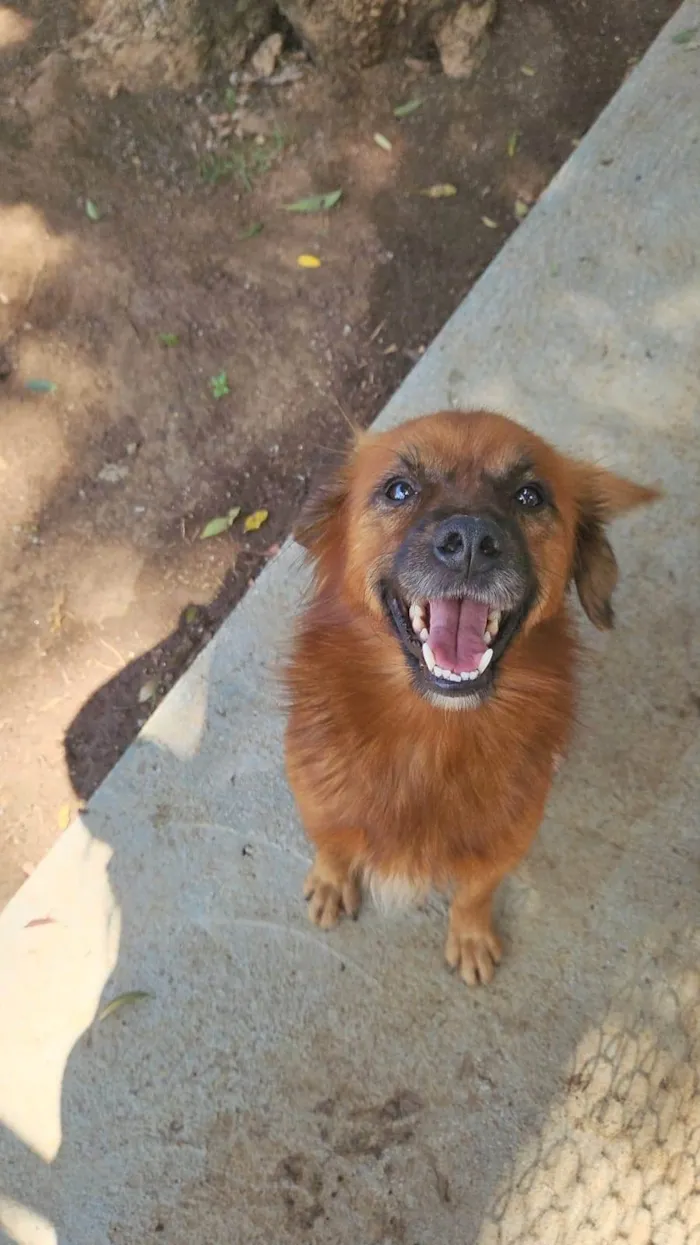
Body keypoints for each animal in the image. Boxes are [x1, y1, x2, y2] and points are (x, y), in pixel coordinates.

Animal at [281, 413, 652, 986]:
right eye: (399, 490)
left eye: (529, 495)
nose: (472, 542)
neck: (430, 736)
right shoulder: (315, 795)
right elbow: (331, 842)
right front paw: (330, 880)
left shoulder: (506, 840)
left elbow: (475, 893)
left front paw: (471, 938)